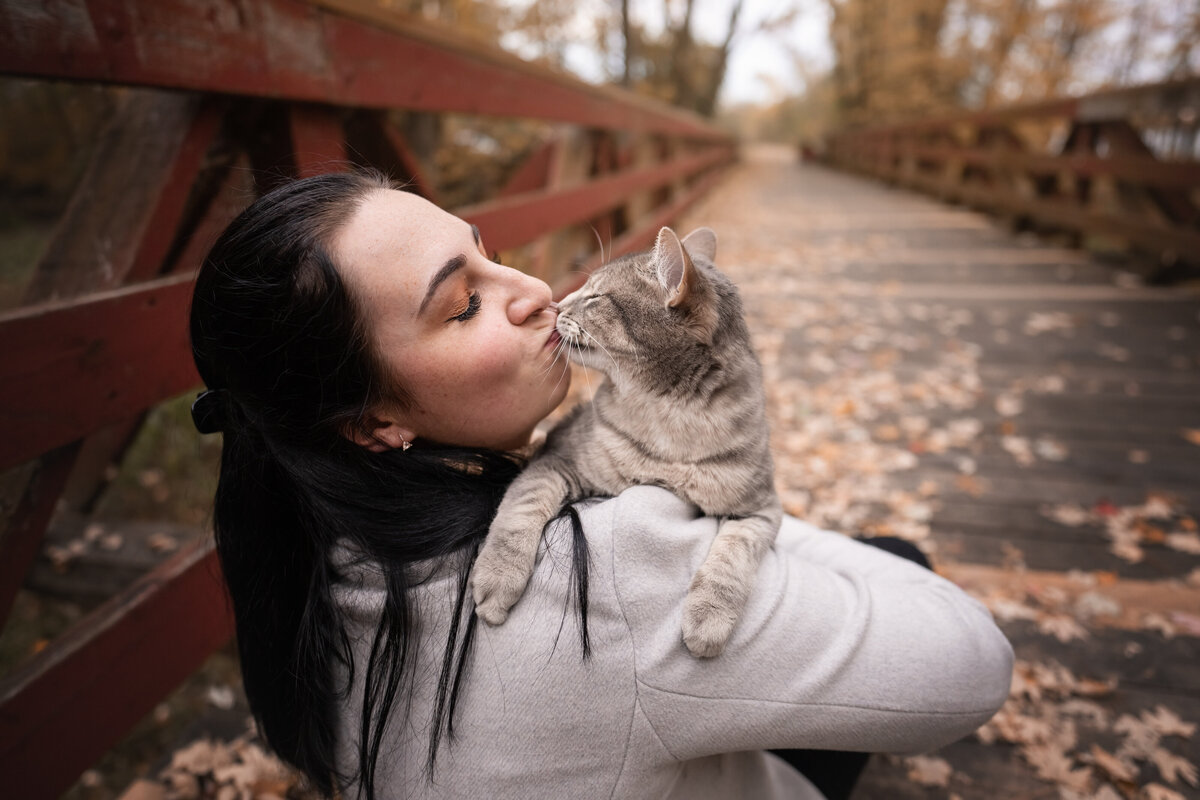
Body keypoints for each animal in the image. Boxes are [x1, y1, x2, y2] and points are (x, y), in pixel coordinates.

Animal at [468, 224, 777, 657]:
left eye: (595, 298)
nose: (556, 305)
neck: (672, 420)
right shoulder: (558, 460)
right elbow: (519, 512)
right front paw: (497, 576)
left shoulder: (760, 510)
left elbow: (733, 555)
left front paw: (710, 616)